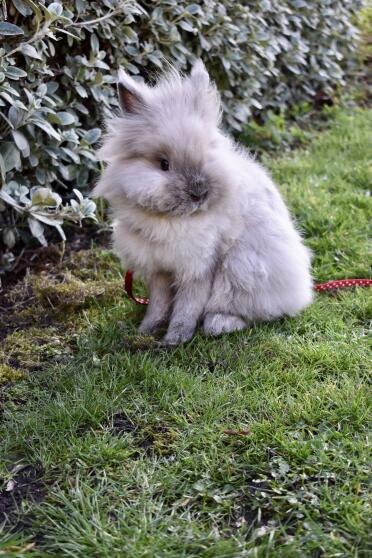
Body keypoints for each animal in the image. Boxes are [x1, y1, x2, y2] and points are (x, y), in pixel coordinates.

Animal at [93, 63, 314, 346]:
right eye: (163, 164)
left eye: (206, 154)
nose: (199, 192)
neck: (171, 219)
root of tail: (301, 291)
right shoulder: (161, 269)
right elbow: (159, 303)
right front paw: (147, 330)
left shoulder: (199, 267)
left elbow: (188, 306)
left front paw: (175, 339)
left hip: (243, 268)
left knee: (253, 311)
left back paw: (219, 324)